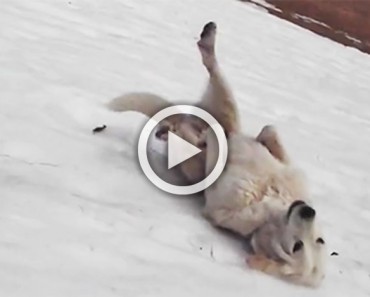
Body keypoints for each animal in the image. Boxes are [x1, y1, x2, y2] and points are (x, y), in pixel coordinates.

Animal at [105, 22, 326, 286]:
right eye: (320, 240)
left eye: (297, 247)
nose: (308, 210)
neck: (272, 203)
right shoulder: (285, 165)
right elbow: (271, 133)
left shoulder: (220, 205)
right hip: (225, 109)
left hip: (218, 115)